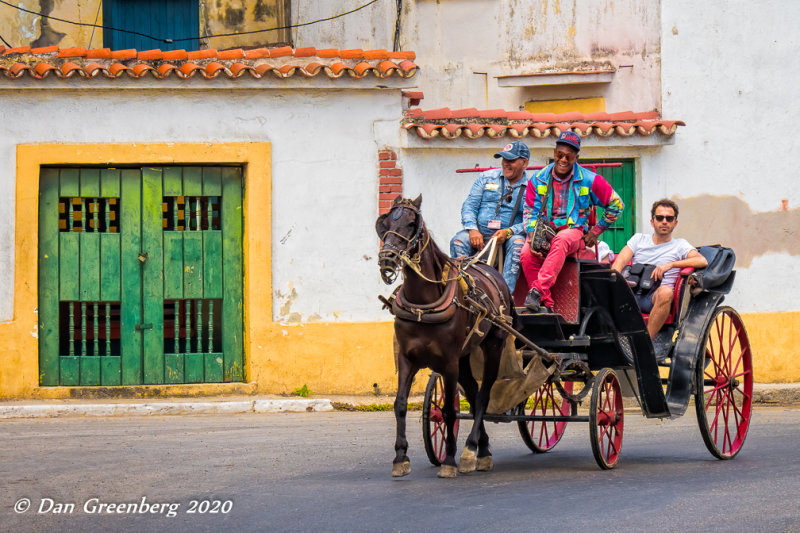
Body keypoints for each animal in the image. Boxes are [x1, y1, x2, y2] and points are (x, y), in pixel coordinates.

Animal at [374, 195, 512, 478]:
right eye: (385, 222)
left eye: (412, 223)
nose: (387, 258)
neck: (422, 305)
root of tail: (492, 270)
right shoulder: (407, 358)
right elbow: (400, 404)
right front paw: (400, 457)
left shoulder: (448, 362)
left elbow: (449, 410)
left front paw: (449, 460)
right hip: (465, 356)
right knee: (473, 393)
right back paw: (482, 450)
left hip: (493, 345)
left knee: (483, 396)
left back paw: (471, 450)